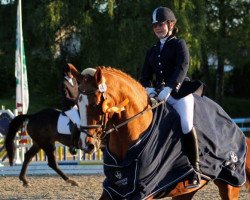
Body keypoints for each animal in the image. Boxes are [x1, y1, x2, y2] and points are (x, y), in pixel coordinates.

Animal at [70, 65, 250, 199]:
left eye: (95, 104)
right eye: (78, 104)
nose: (87, 145)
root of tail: (233, 124)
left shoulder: (143, 190)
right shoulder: (114, 189)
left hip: (229, 185)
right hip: (184, 191)